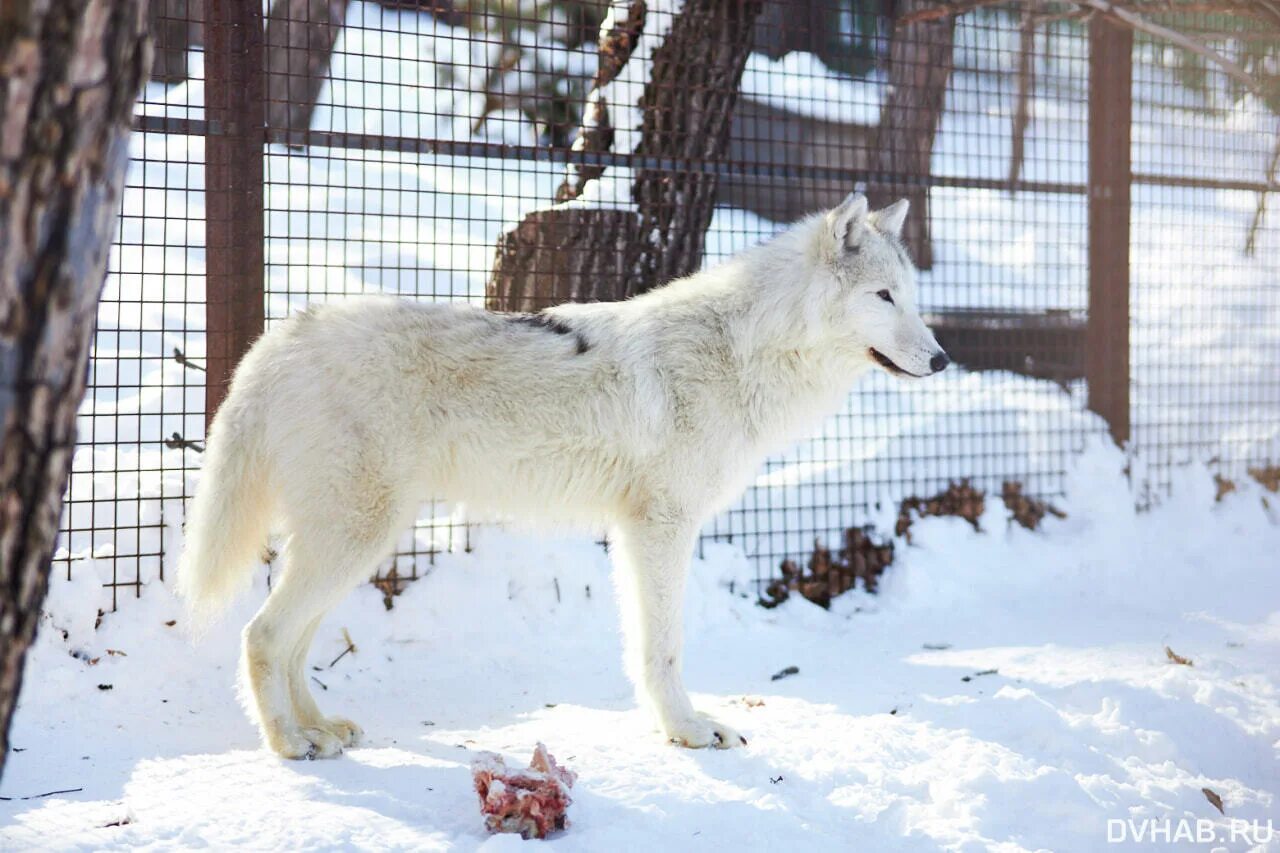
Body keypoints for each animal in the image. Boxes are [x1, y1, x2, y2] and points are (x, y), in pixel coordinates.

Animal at [175, 194, 947, 758]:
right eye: (884, 296)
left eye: (912, 297)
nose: (942, 360)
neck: (744, 349)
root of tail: (278, 336)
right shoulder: (661, 527)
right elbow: (664, 647)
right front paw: (689, 731)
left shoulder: (633, 531)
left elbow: (643, 645)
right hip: (356, 537)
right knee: (262, 636)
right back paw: (288, 743)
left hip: (359, 542)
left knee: (294, 643)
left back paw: (323, 728)